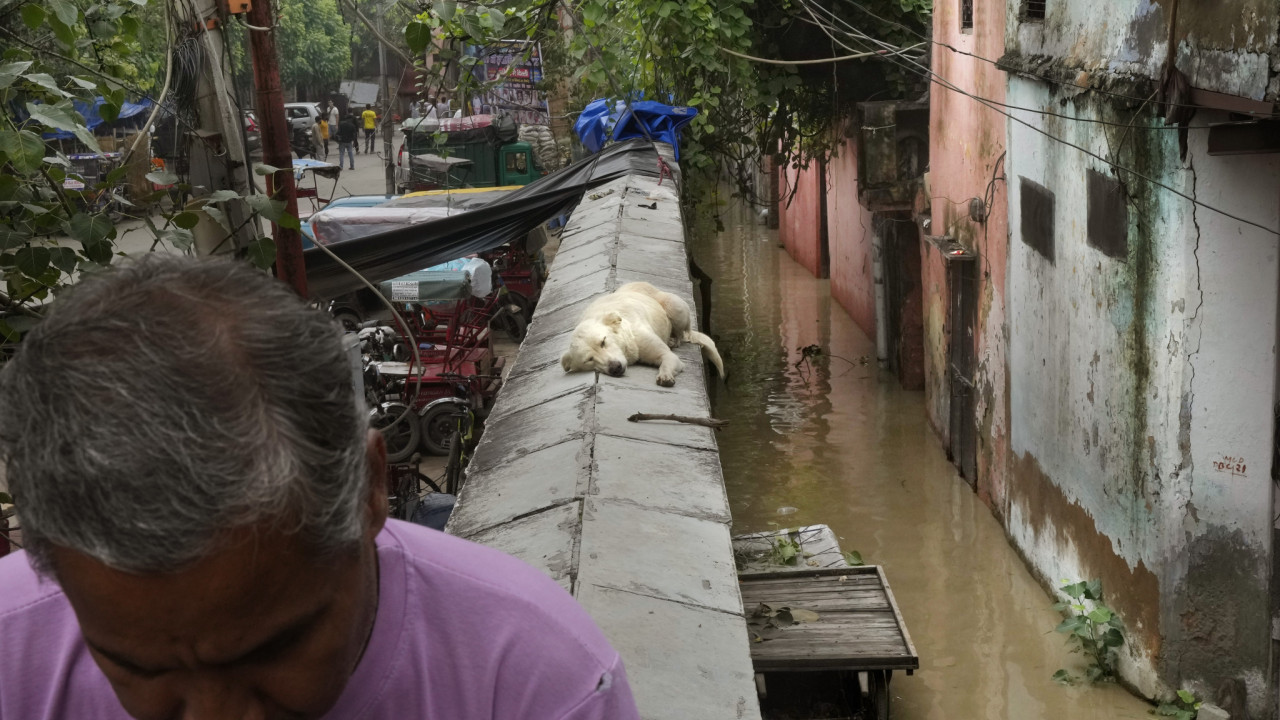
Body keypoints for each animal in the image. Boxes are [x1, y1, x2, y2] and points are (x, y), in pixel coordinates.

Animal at [558, 279, 727, 384]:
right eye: (589, 359)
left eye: (603, 341)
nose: (615, 368)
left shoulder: (664, 354)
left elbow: (667, 359)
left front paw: (665, 375)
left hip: (674, 306)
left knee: (681, 334)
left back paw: (673, 340)